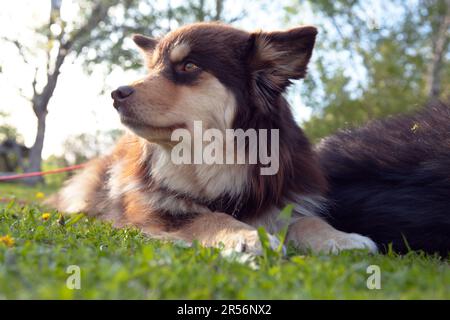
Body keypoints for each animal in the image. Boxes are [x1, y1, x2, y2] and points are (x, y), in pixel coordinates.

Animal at [47, 21, 378, 255]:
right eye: (153, 68)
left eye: (189, 66)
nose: (116, 94)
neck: (212, 158)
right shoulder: (163, 211)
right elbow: (210, 217)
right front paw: (247, 236)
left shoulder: (286, 198)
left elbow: (308, 220)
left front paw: (341, 237)